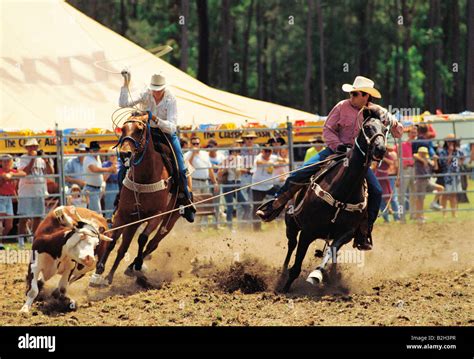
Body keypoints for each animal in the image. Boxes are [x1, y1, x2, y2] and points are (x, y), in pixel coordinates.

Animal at [90, 112, 181, 286]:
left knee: (152, 244)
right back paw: (110, 276)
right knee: (123, 248)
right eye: (123, 128)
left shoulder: (157, 215)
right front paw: (98, 272)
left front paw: (137, 266)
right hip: (134, 221)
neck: (145, 178)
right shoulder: (123, 214)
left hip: (170, 220)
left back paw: (133, 268)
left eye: (139, 130)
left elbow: (143, 238)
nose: (125, 153)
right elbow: (113, 241)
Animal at [280, 108, 386, 294]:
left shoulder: (347, 233)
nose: (380, 149)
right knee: (291, 245)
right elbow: (296, 267)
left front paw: (318, 275)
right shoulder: (307, 231)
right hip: (291, 224)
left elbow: (332, 250)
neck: (343, 191)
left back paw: (332, 278)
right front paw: (284, 288)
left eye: (385, 129)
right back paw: (282, 275)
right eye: (367, 127)